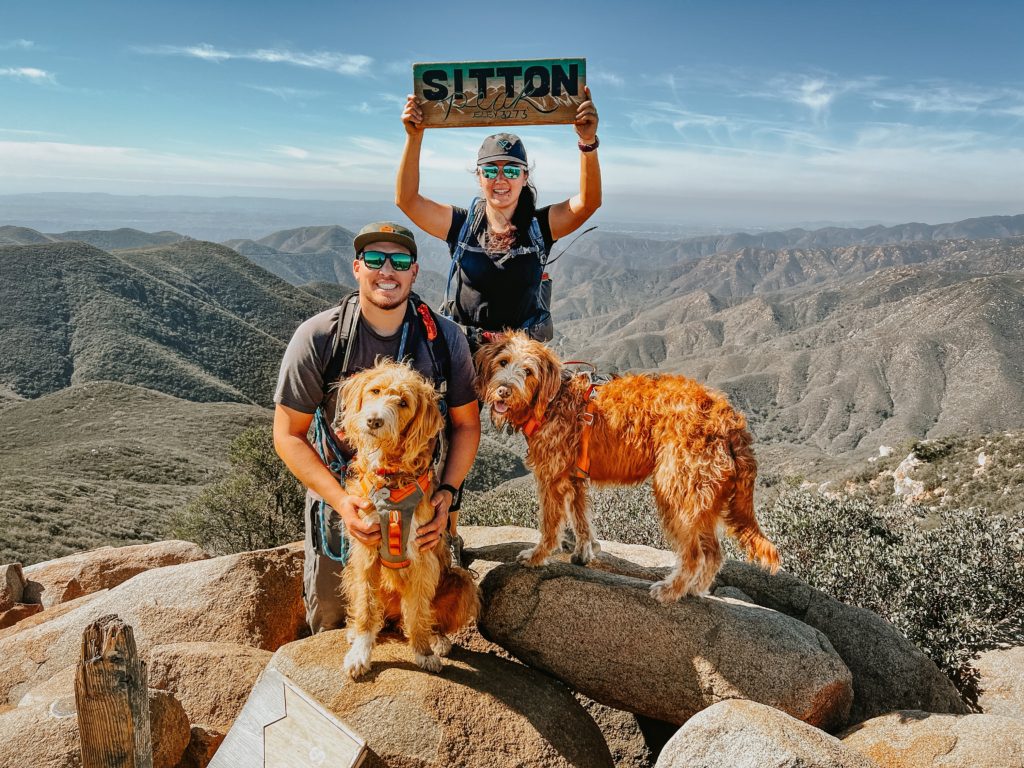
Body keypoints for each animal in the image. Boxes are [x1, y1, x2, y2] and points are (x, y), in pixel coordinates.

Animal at [337, 362, 477, 679]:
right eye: (375, 391)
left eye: (403, 403)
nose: (374, 421)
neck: (391, 478)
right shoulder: (365, 550)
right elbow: (366, 605)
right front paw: (360, 652)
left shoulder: (422, 558)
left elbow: (417, 611)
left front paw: (422, 651)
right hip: (352, 573)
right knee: (374, 610)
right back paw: (356, 631)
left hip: (461, 581)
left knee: (424, 615)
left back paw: (436, 638)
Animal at [475, 333, 778, 606]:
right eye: (503, 362)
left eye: (528, 371)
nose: (504, 390)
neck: (552, 398)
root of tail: (727, 417)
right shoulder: (574, 479)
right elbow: (580, 517)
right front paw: (584, 551)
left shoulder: (552, 477)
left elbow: (550, 524)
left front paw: (537, 556)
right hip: (703, 496)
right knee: (714, 552)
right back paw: (694, 590)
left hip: (677, 491)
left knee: (694, 554)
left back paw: (672, 590)